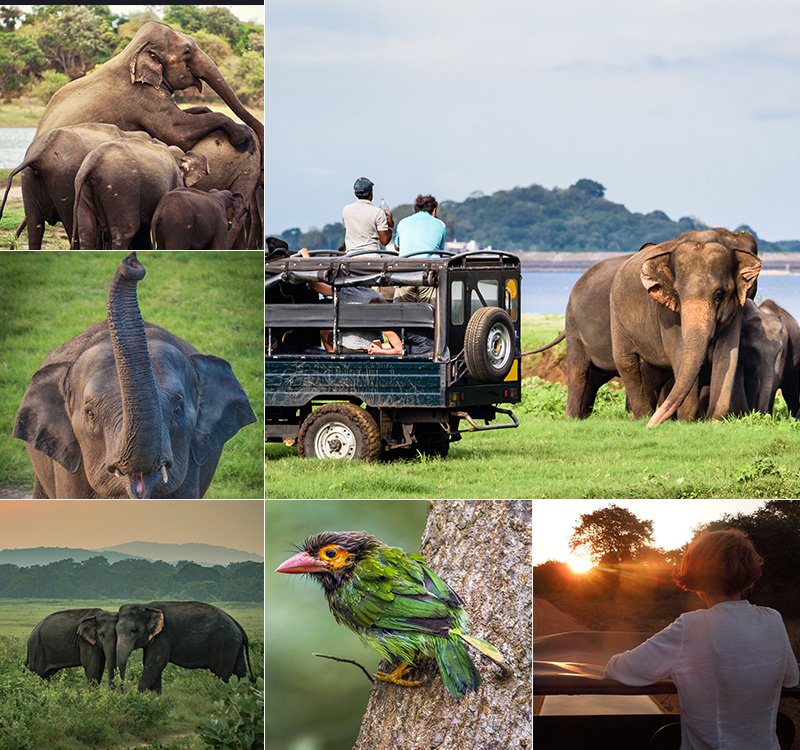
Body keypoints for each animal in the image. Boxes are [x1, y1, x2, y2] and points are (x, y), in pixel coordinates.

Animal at [115, 601, 253, 693]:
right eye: (115, 630)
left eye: (135, 630)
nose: (123, 690)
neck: (146, 605)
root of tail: (238, 625)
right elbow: (152, 665)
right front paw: (155, 698)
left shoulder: (163, 636)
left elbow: (154, 664)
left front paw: (140, 697)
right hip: (234, 645)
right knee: (240, 671)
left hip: (225, 644)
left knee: (222, 674)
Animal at [610, 230, 762, 427]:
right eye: (676, 294)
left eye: (719, 294)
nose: (651, 426)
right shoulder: (666, 313)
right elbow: (679, 352)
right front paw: (686, 421)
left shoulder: (736, 309)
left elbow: (727, 353)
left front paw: (713, 420)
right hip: (616, 315)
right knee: (625, 361)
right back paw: (642, 417)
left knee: (652, 371)